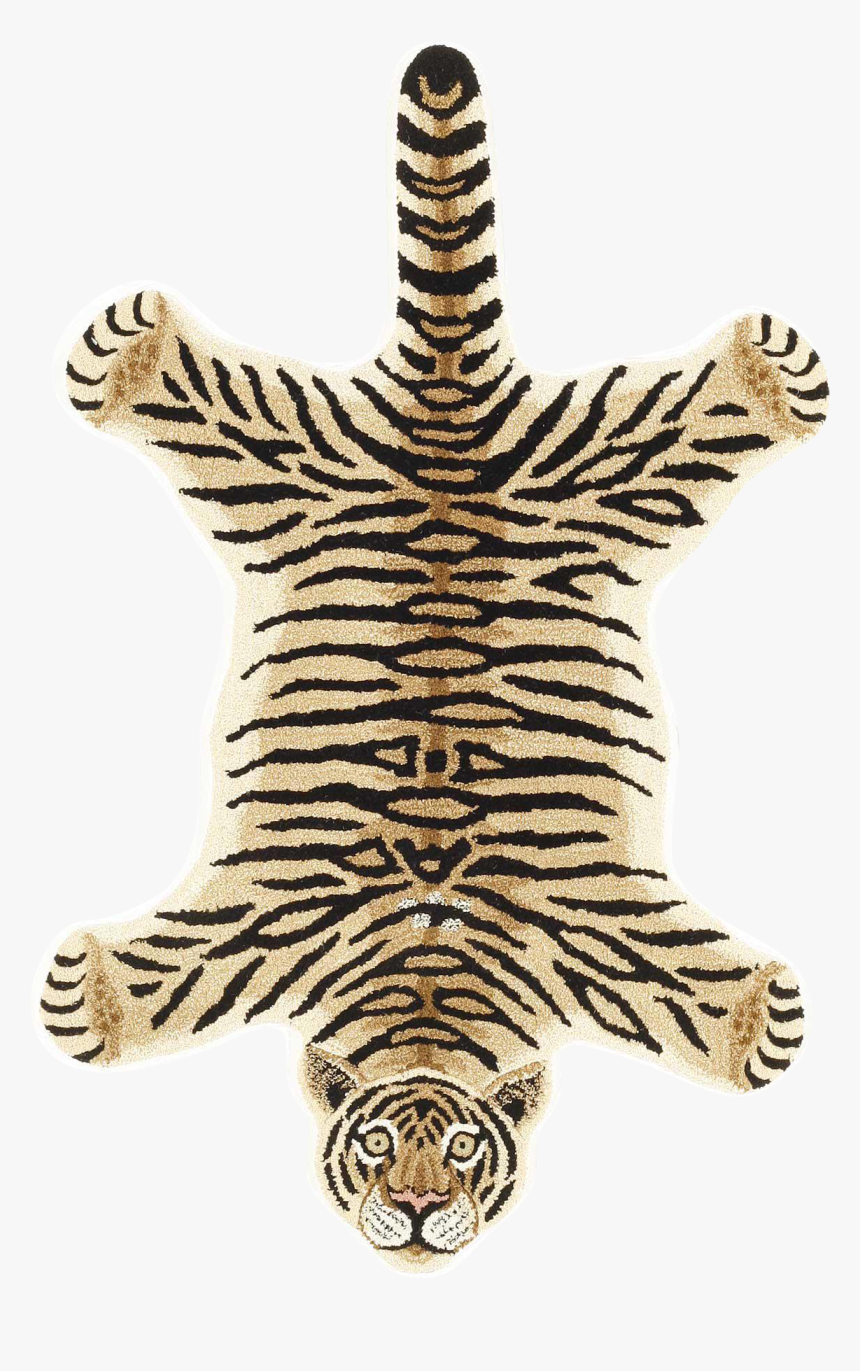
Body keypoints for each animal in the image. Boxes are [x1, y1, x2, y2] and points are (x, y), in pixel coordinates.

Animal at [41, 44, 827, 1269]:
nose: (412, 1213)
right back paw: (134, 350)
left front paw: (758, 1015)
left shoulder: (597, 939)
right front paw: (92, 995)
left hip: (598, 460)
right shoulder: (267, 924)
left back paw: (764, 372)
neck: (427, 966)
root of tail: (446, 414)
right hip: (289, 456)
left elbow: (711, 1006)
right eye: (375, 1144)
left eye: (460, 1147)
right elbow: (155, 988)